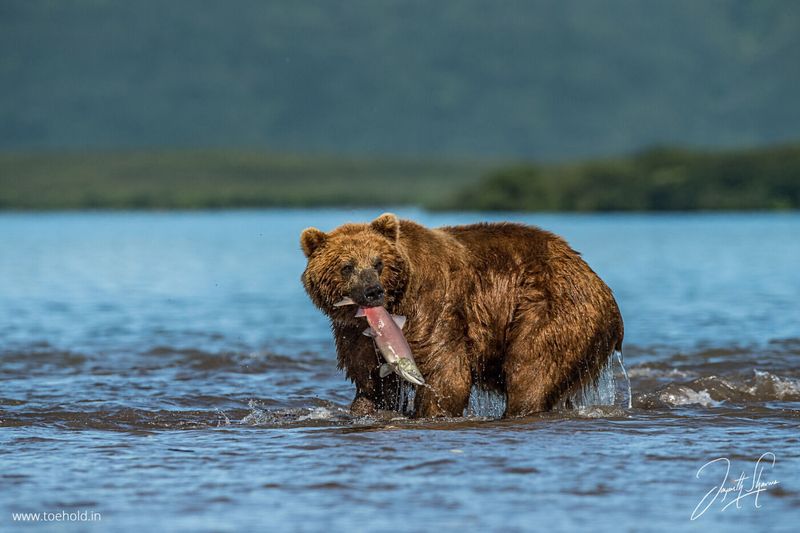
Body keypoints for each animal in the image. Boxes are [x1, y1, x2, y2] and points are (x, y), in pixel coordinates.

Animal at [304, 212, 620, 416]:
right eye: (347, 266)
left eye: (379, 262)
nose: (372, 291)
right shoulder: (354, 336)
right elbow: (372, 384)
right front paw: (363, 408)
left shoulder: (431, 307)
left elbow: (446, 372)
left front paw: (431, 411)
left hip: (553, 307)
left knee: (532, 367)